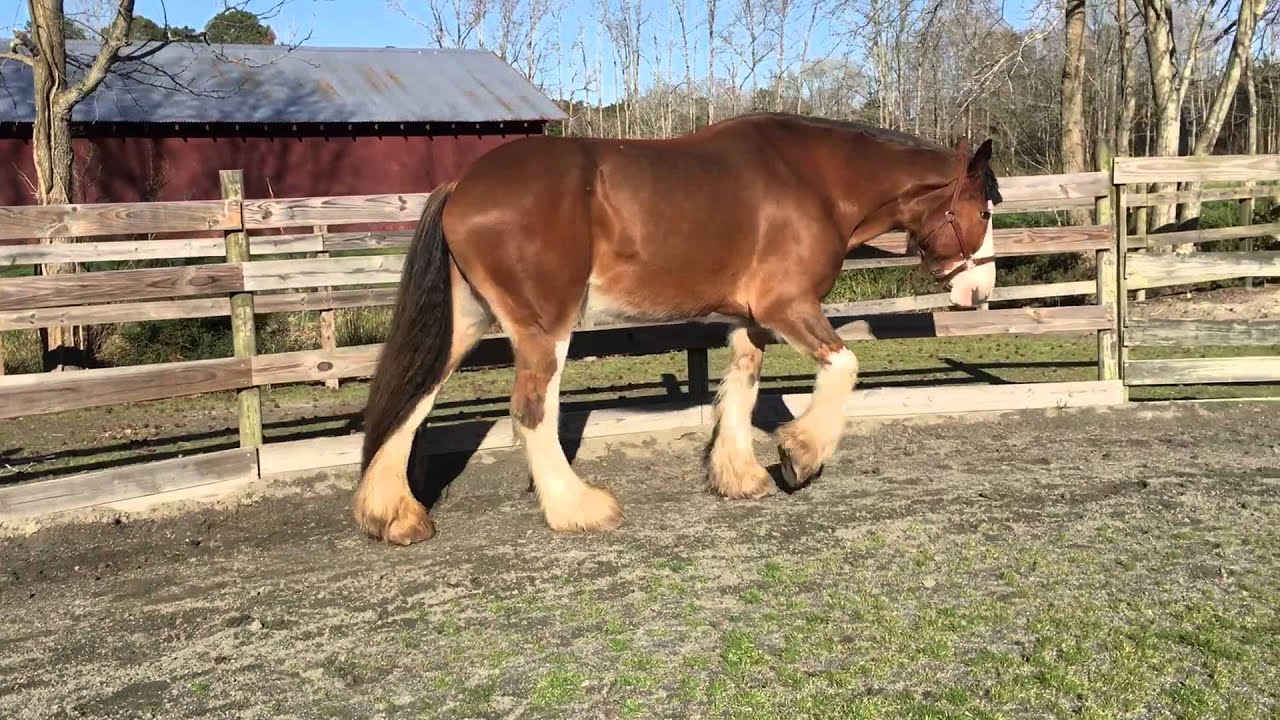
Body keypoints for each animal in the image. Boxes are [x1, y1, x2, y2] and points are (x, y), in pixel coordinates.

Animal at [352, 112, 1002, 545]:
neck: (813, 181)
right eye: (984, 209)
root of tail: (462, 185)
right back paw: (578, 509)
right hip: (543, 327)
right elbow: (844, 366)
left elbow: (742, 388)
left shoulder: (749, 321)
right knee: (531, 410)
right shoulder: (786, 307)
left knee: (416, 397)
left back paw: (393, 516)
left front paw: (741, 477)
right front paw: (799, 456)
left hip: (467, 322)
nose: (981, 291)